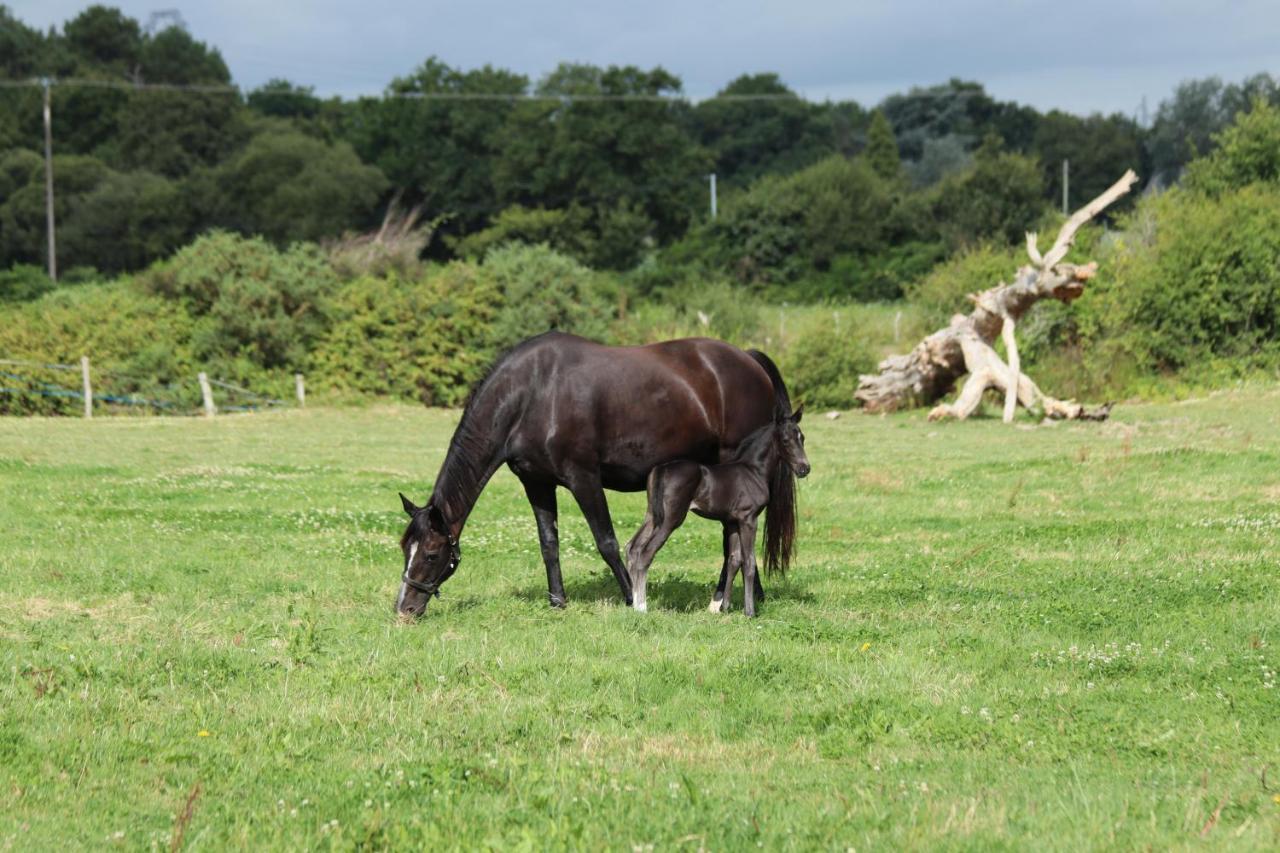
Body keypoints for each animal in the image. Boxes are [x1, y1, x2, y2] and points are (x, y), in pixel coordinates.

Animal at [622, 404, 808, 612]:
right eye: (785, 440)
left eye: (802, 438)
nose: (804, 468)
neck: (753, 471)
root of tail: (660, 469)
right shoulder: (748, 519)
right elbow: (749, 562)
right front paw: (749, 611)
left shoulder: (732, 522)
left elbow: (734, 560)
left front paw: (725, 607)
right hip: (670, 520)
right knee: (646, 553)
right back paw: (642, 608)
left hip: (653, 516)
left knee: (633, 548)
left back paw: (634, 604)